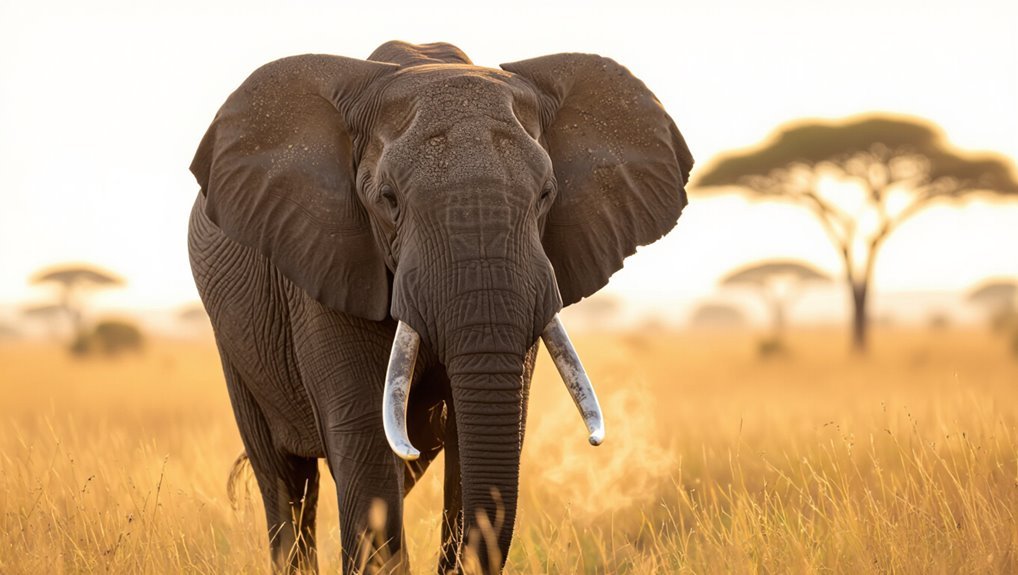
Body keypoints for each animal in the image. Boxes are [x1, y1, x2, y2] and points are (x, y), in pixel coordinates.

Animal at [187, 40, 692, 574]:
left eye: (546, 195)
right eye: (388, 200)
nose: (597, 442)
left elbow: (477, 442)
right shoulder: (324, 261)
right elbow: (366, 442)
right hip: (234, 344)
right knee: (286, 483)